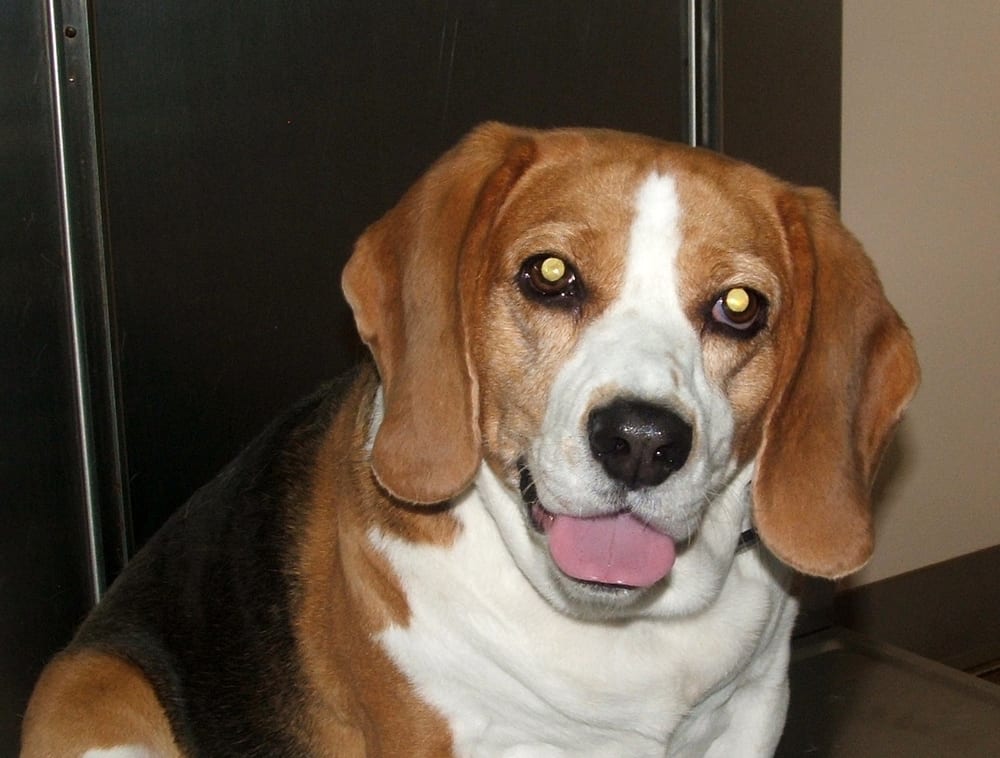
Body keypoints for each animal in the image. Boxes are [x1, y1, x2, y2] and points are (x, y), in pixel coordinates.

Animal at [21, 124, 919, 757]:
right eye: (549, 275)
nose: (640, 441)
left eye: (739, 306)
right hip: (99, 699)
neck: (620, 630)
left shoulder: (750, 713)